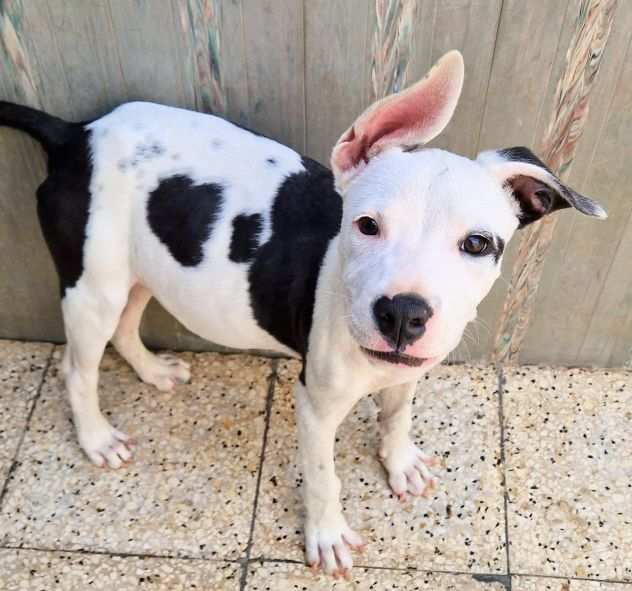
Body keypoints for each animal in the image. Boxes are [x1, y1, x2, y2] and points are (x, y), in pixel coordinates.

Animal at [0, 52, 608, 580]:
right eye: (366, 225)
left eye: (478, 244)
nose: (403, 313)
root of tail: (76, 134)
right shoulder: (315, 404)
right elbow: (323, 476)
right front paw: (328, 535)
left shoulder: (406, 371)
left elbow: (398, 414)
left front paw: (398, 461)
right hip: (93, 286)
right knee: (77, 368)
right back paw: (96, 437)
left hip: (138, 270)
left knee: (127, 327)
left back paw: (152, 371)